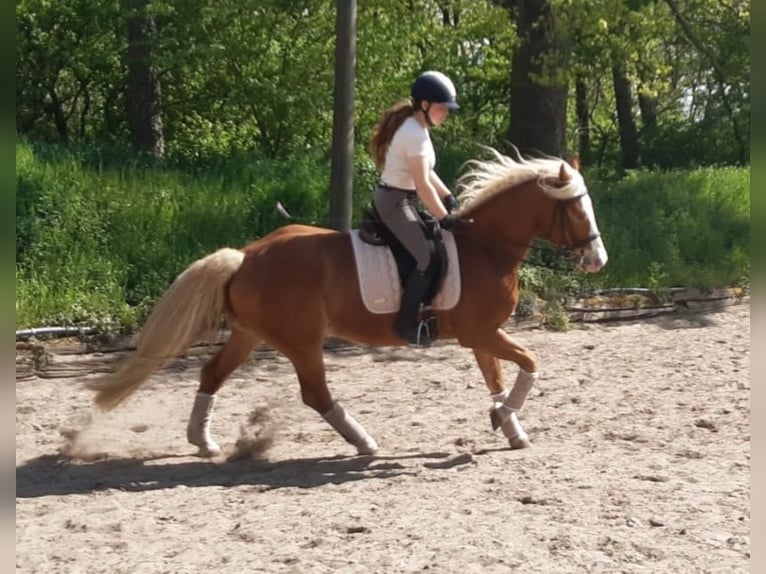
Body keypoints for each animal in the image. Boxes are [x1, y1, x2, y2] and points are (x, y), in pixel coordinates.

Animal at [87, 148, 608, 457]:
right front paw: (505, 419)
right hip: (301, 340)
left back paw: (204, 441)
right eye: (577, 209)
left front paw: (510, 426)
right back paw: (365, 442)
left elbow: (498, 379)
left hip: (250, 334)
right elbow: (531, 363)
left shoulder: (482, 336)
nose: (597, 260)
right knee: (315, 394)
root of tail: (247, 255)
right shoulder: (481, 332)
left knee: (212, 374)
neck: (486, 247)